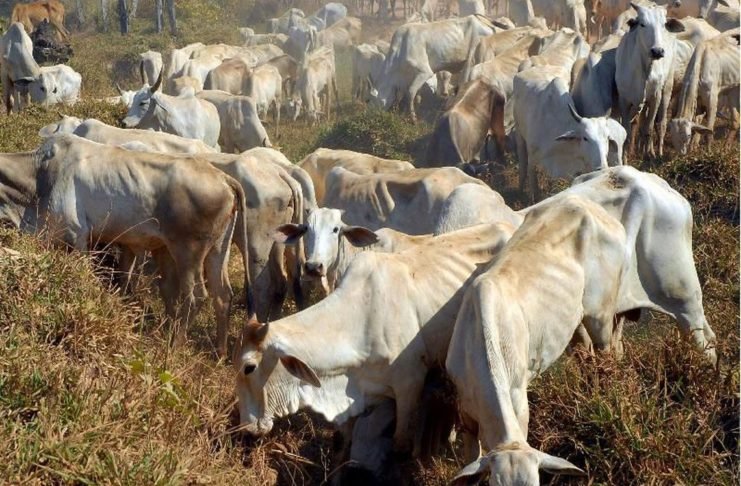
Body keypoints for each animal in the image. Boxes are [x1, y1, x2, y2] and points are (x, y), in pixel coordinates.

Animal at [0, 134, 248, 356]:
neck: (38, 177)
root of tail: (224, 179)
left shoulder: (77, 238)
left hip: (189, 252)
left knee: (196, 295)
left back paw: (175, 346)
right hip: (218, 250)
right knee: (222, 295)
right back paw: (219, 353)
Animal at [447, 196, 626, 485]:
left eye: (536, 482)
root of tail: (586, 204)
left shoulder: (520, 401)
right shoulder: (465, 412)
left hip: (600, 313)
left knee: (608, 352)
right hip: (574, 317)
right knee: (586, 351)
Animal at [513, 66, 626, 200]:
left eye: (607, 138)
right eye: (585, 138)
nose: (601, 167)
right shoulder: (533, 162)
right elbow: (535, 192)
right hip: (519, 133)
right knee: (522, 165)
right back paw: (519, 192)